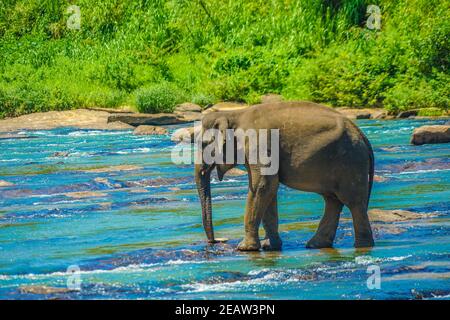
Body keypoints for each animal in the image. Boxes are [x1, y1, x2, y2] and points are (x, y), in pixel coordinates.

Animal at [195, 100, 374, 250]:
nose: (215, 241)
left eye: (203, 144)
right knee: (333, 200)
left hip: (350, 162)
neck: (234, 114)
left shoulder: (259, 144)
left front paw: (244, 248)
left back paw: (362, 246)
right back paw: (316, 245)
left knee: (352, 201)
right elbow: (268, 189)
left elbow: (263, 186)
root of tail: (362, 135)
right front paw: (269, 247)